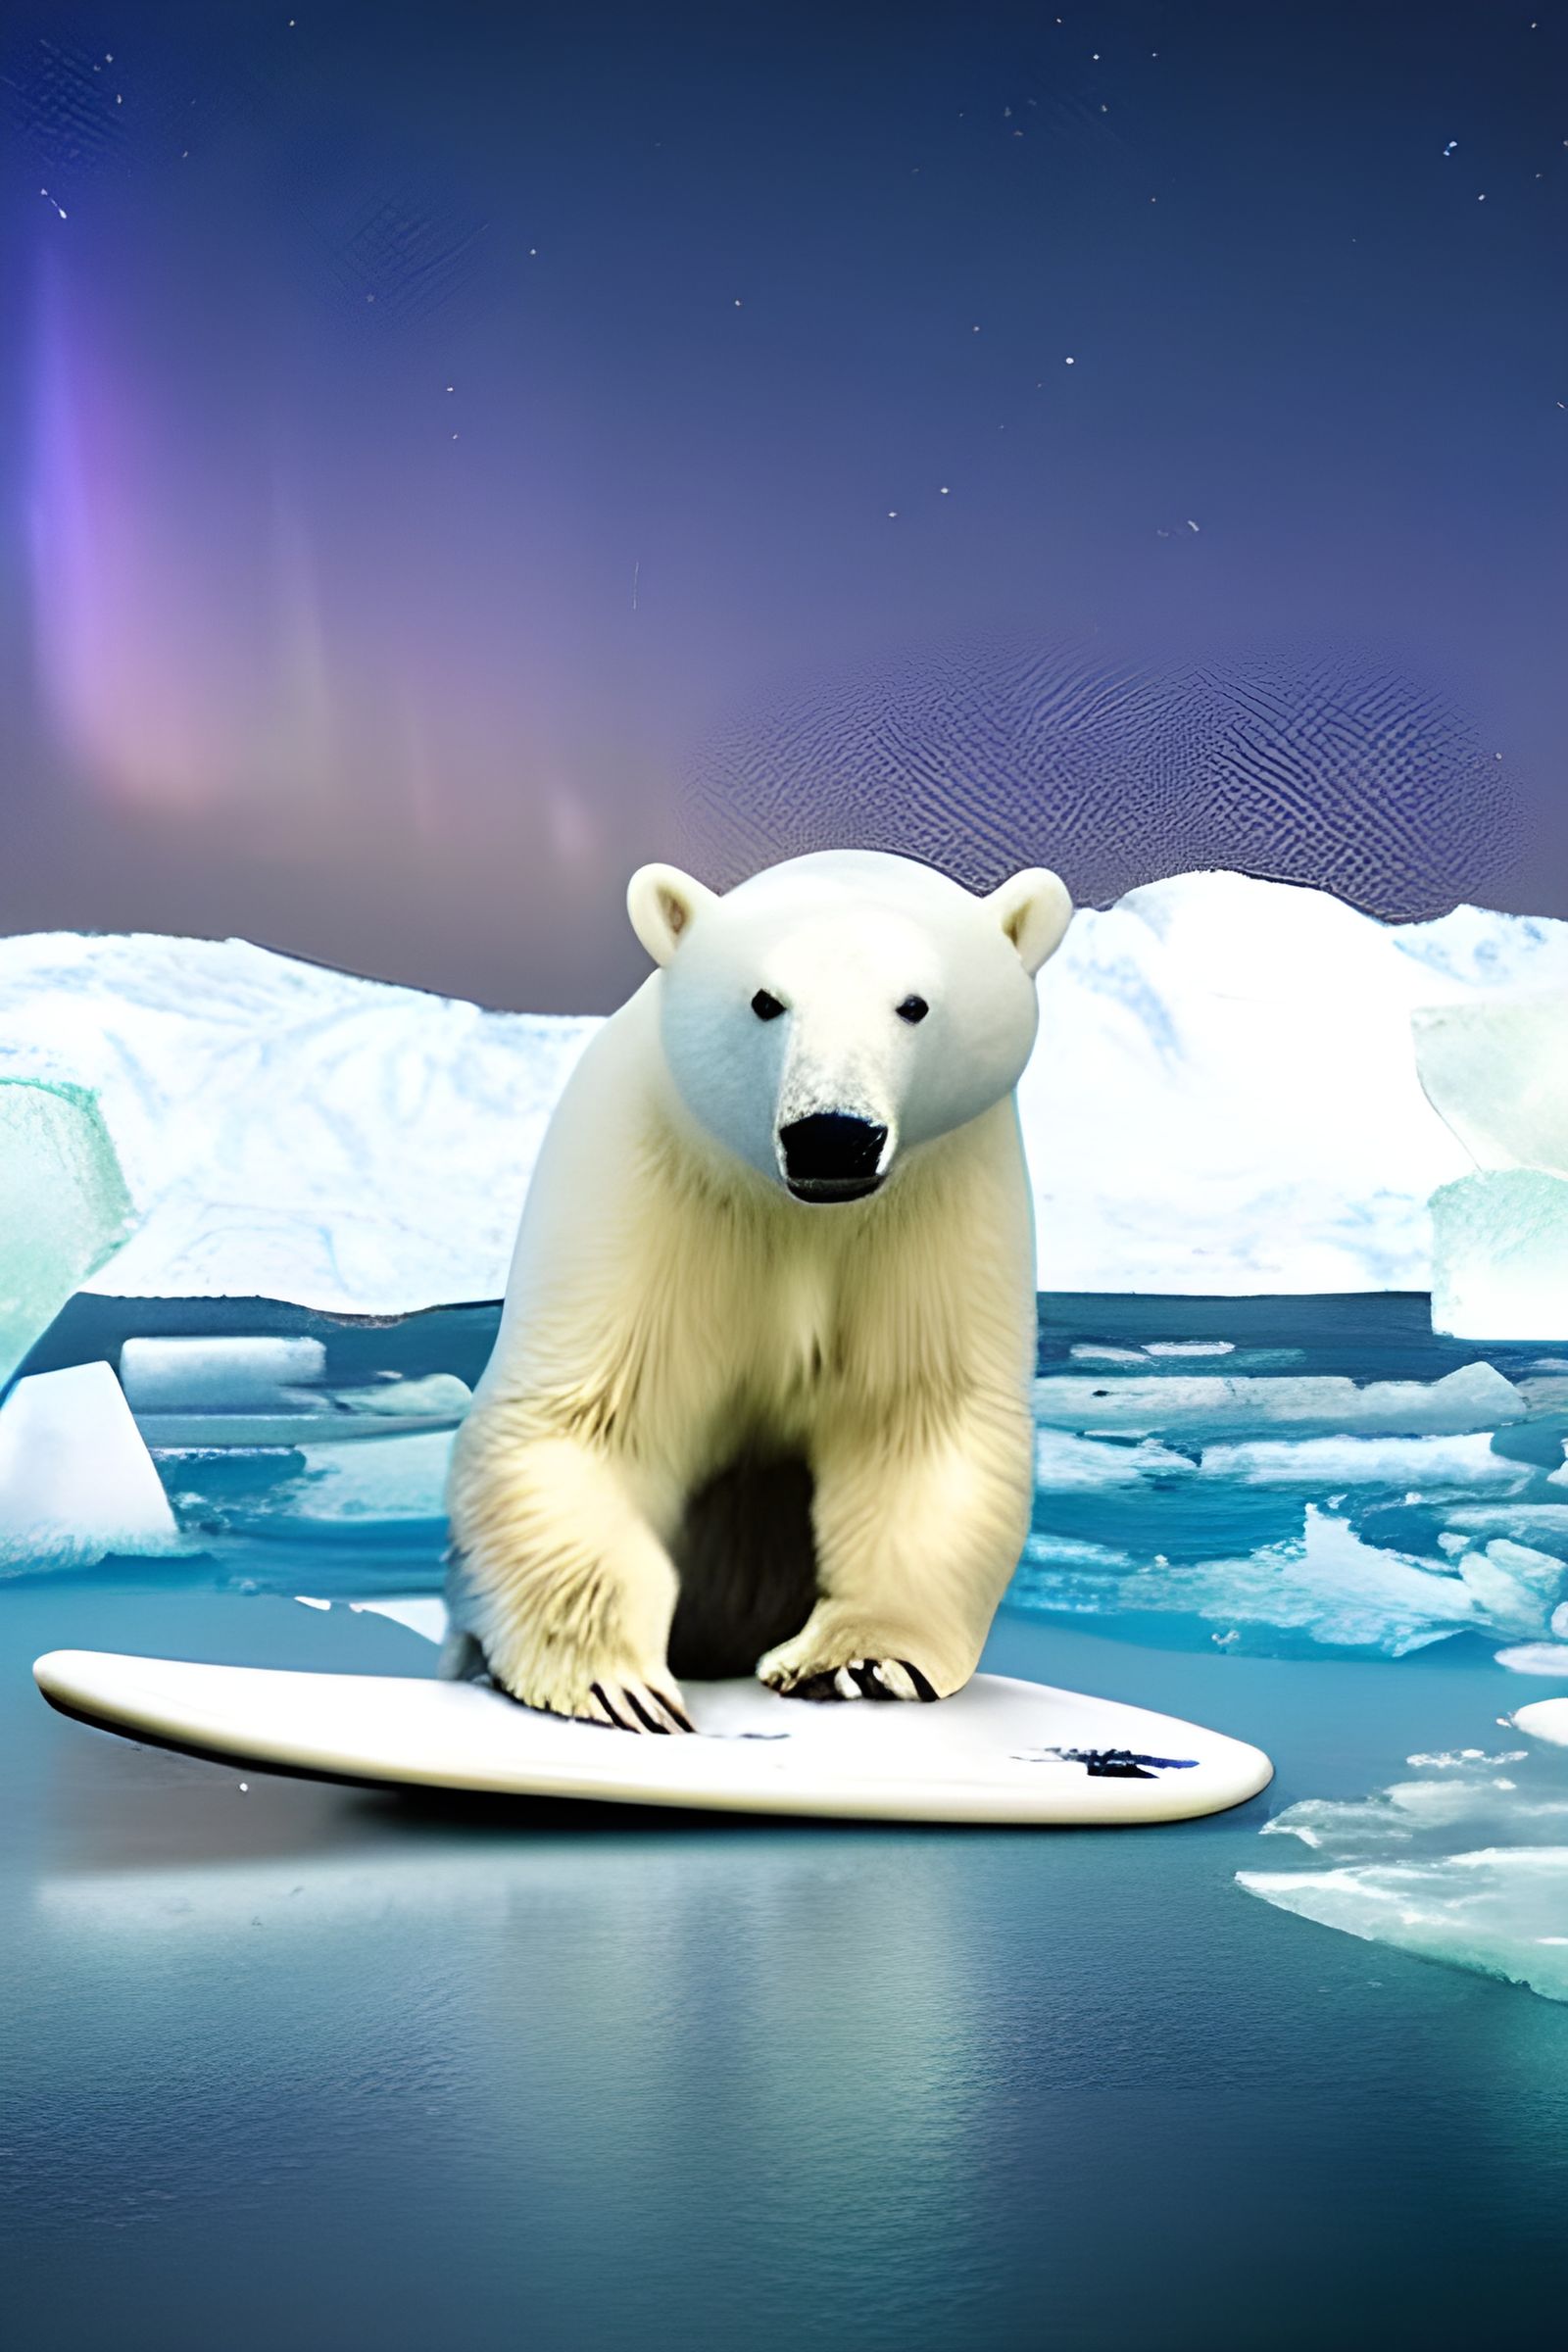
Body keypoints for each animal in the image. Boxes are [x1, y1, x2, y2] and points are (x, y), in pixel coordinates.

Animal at [442, 846, 1072, 1732]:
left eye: (915, 1004)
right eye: (765, 1000)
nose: (832, 1136)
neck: (801, 1211)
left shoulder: (936, 1208)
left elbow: (917, 1419)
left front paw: (859, 1661)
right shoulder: (651, 1186)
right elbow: (589, 1420)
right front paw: (619, 1685)